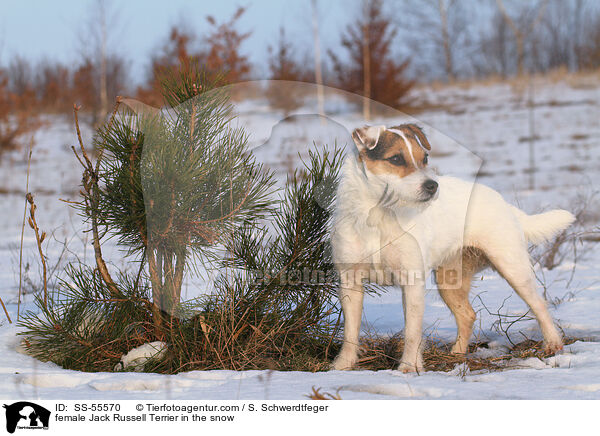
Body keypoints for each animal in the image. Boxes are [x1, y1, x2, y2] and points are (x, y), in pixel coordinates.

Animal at [330, 123, 576, 372]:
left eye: (425, 158)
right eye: (396, 158)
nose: (432, 186)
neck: (379, 215)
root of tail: (504, 203)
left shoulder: (412, 282)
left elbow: (412, 332)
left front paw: (409, 368)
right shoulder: (350, 281)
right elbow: (350, 332)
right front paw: (343, 365)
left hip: (513, 268)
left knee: (539, 305)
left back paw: (552, 343)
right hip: (449, 280)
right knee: (467, 315)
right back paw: (457, 354)